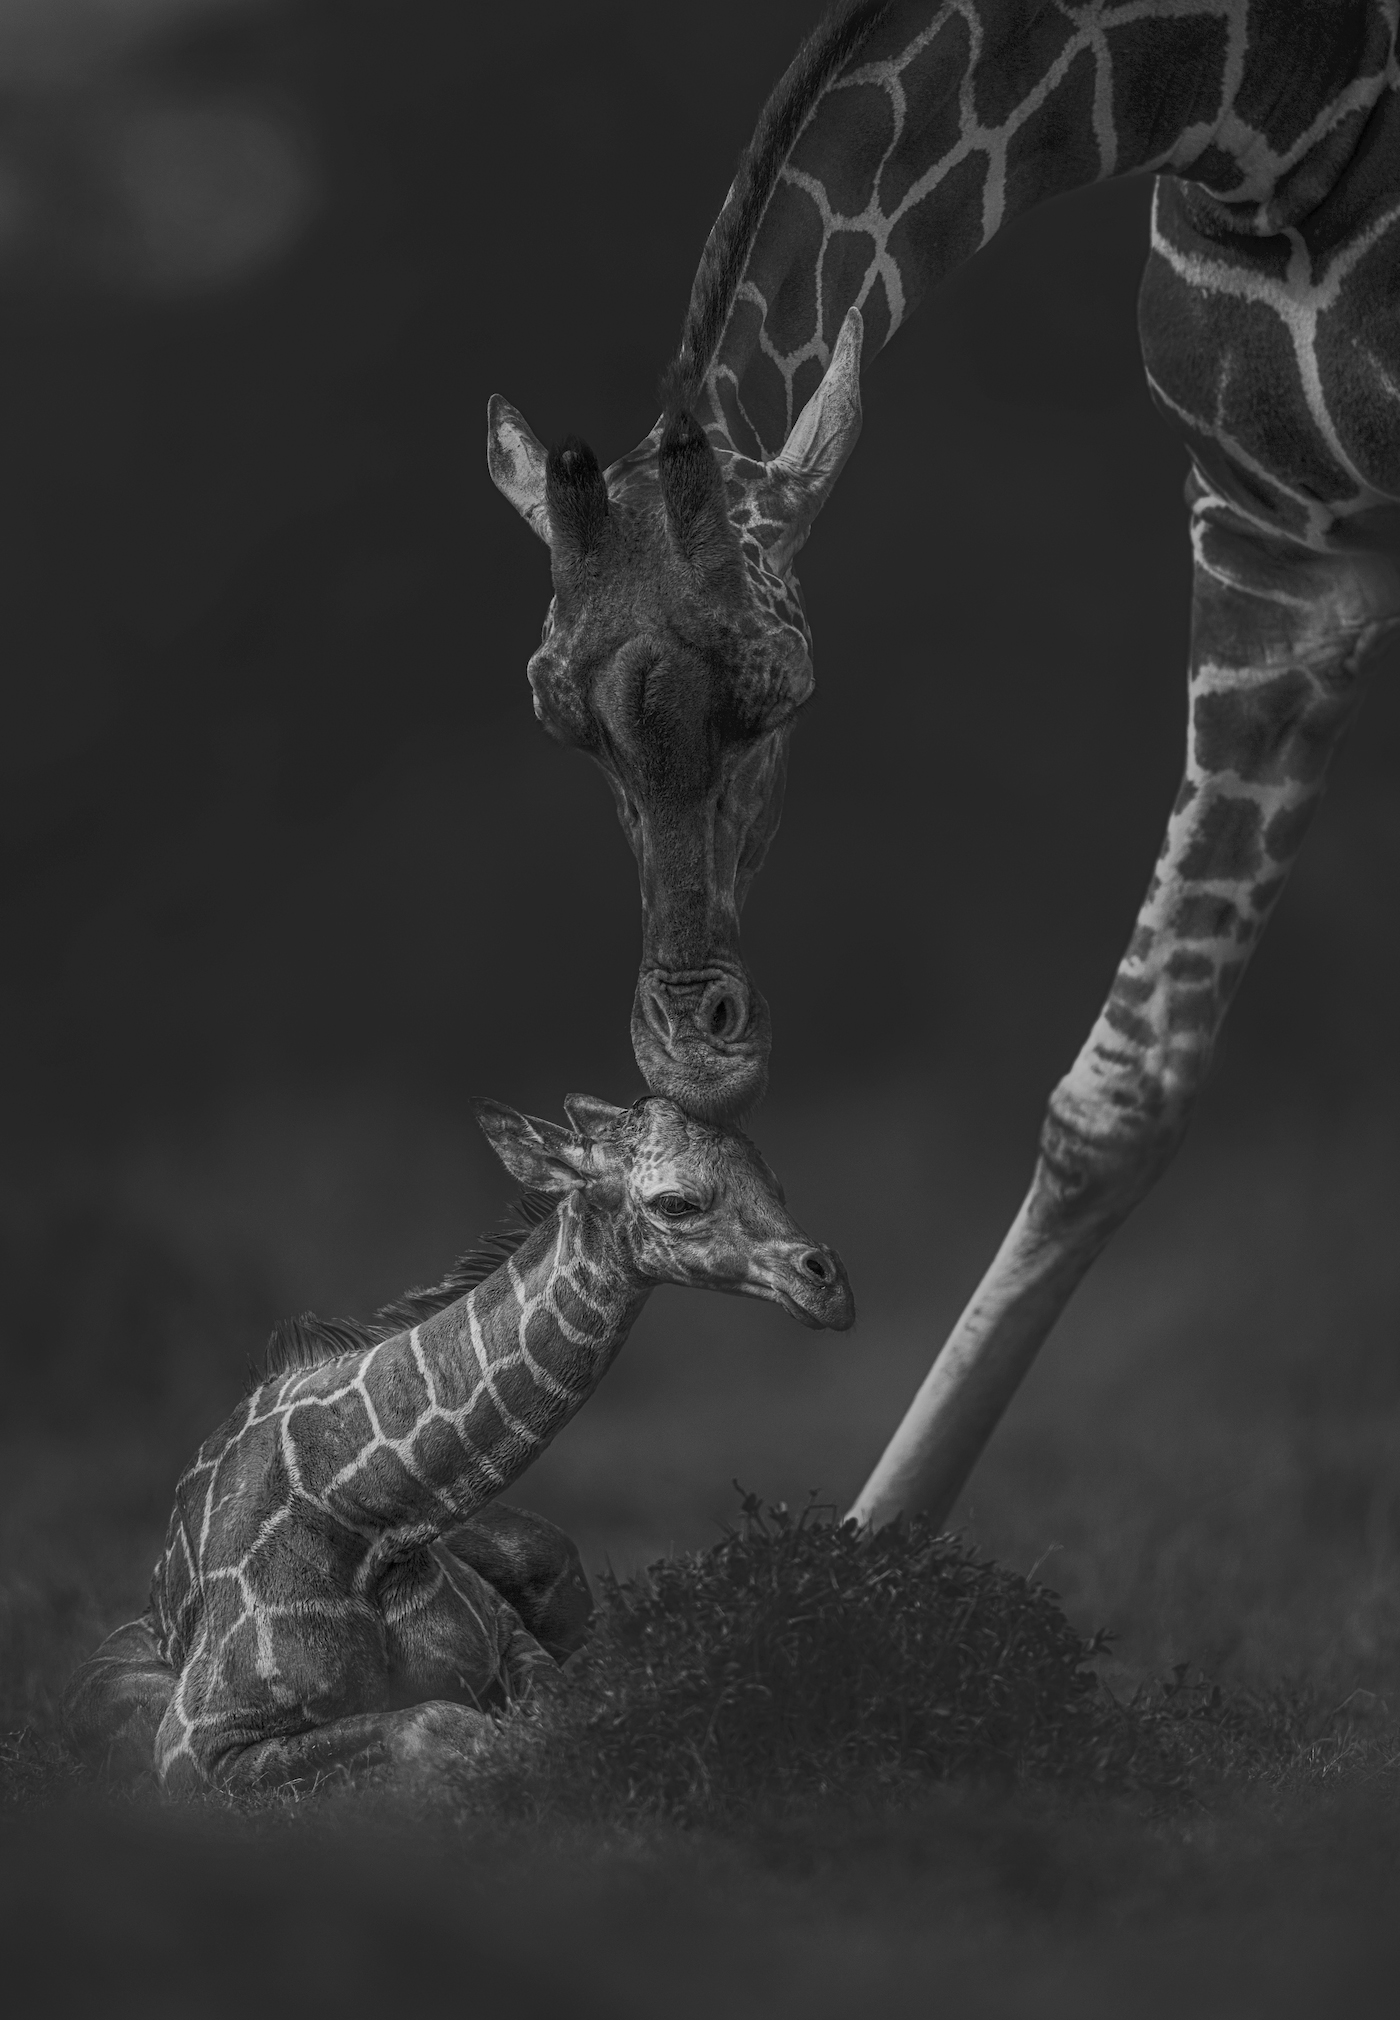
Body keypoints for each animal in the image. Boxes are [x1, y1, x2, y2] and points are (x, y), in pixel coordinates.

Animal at [62, 1093, 853, 1792]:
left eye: (774, 1181)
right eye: (676, 1202)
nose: (830, 1286)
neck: (362, 1513)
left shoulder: (507, 1636)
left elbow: (551, 1709)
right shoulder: (196, 1747)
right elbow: (438, 1725)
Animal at [486, 0, 1400, 1532]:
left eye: (782, 690)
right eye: (556, 711)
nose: (697, 1056)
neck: (1268, 113)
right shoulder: (1275, 540)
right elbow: (1117, 1096)